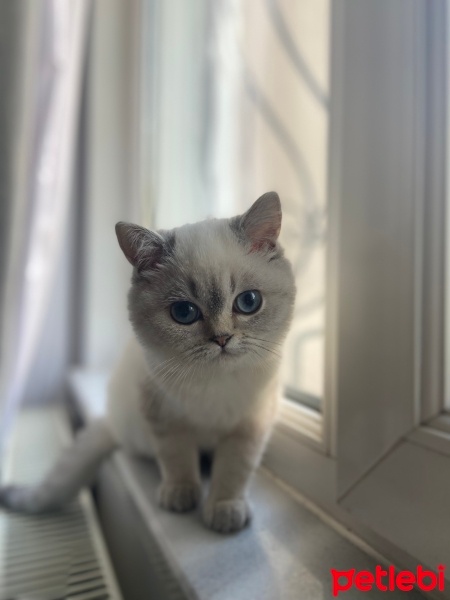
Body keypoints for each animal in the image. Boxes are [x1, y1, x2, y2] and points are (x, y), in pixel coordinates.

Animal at [0, 192, 298, 536]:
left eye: (249, 302)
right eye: (184, 313)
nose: (222, 339)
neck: (214, 382)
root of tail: (111, 421)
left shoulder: (251, 424)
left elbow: (234, 469)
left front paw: (224, 509)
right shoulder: (163, 414)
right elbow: (177, 458)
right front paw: (181, 496)